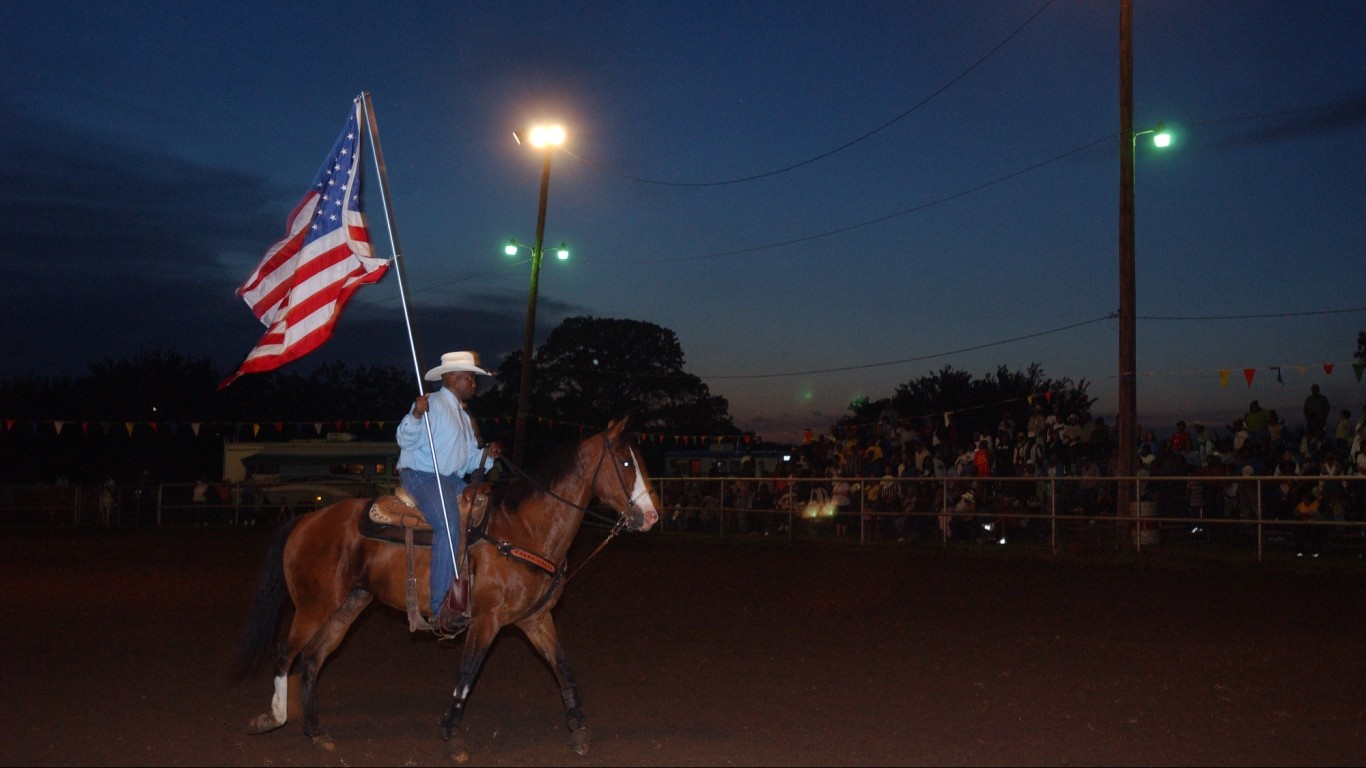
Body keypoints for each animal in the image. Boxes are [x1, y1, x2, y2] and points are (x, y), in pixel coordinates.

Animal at [232, 418, 658, 759]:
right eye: (625, 463)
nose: (652, 516)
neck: (525, 530)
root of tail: (305, 520)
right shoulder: (487, 620)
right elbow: (468, 673)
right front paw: (451, 735)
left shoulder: (535, 619)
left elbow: (563, 666)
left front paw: (580, 729)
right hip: (313, 605)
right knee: (285, 652)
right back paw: (273, 717)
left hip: (349, 605)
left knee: (312, 658)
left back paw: (315, 732)